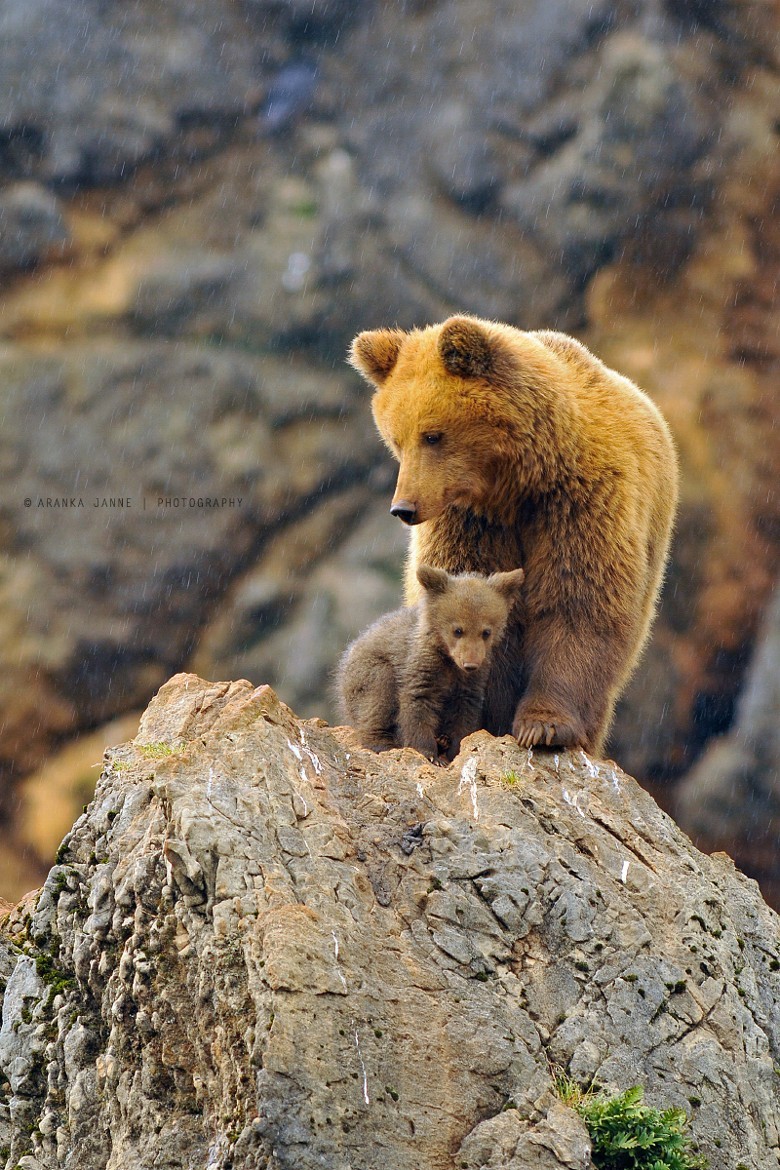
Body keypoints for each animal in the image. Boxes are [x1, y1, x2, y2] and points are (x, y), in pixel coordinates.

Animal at [350, 315, 678, 753]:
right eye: (395, 440)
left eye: (432, 435)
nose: (404, 508)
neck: (516, 487)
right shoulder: (470, 524)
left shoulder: (583, 503)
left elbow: (578, 602)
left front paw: (543, 725)